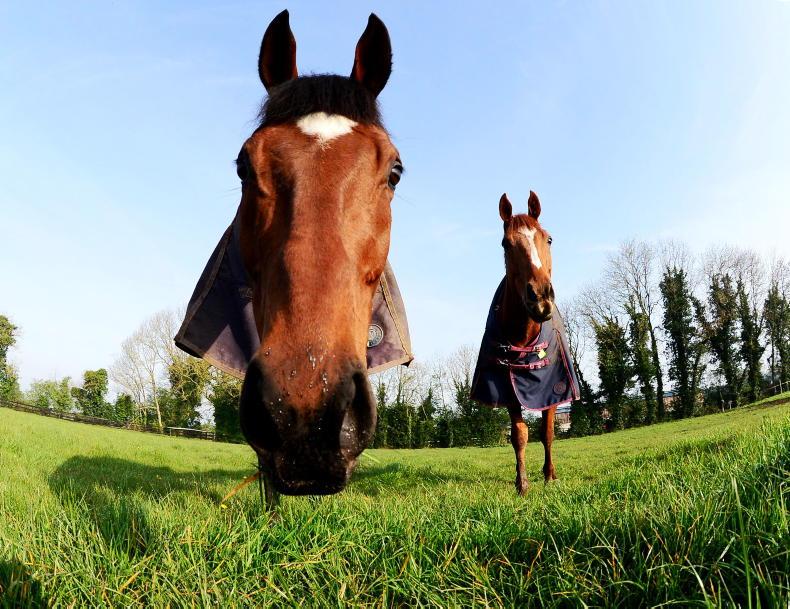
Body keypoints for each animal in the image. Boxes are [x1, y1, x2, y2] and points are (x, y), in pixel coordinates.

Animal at [470, 192, 578, 495]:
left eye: (548, 239)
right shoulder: (509, 392)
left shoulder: (552, 390)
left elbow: (547, 433)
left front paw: (549, 475)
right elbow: (519, 436)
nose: (540, 297)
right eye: (506, 243)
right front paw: (522, 484)